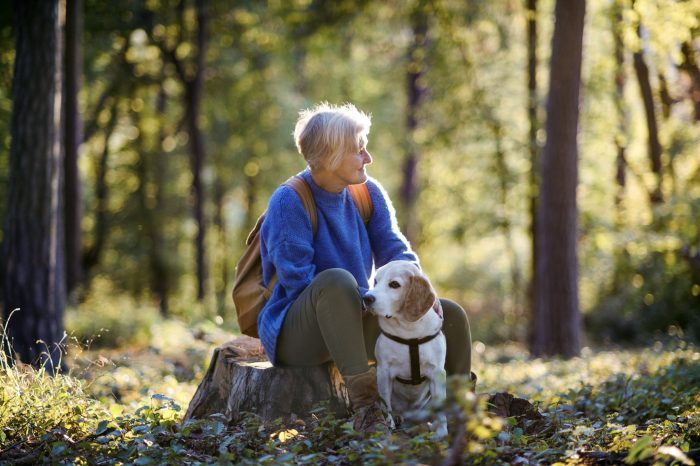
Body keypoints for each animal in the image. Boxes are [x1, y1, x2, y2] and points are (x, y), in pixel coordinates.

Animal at [364, 260, 446, 436]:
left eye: (394, 284)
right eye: (375, 281)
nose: (366, 298)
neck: (409, 332)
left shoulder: (437, 373)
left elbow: (441, 410)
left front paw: (442, 433)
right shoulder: (384, 372)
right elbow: (386, 405)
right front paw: (389, 426)